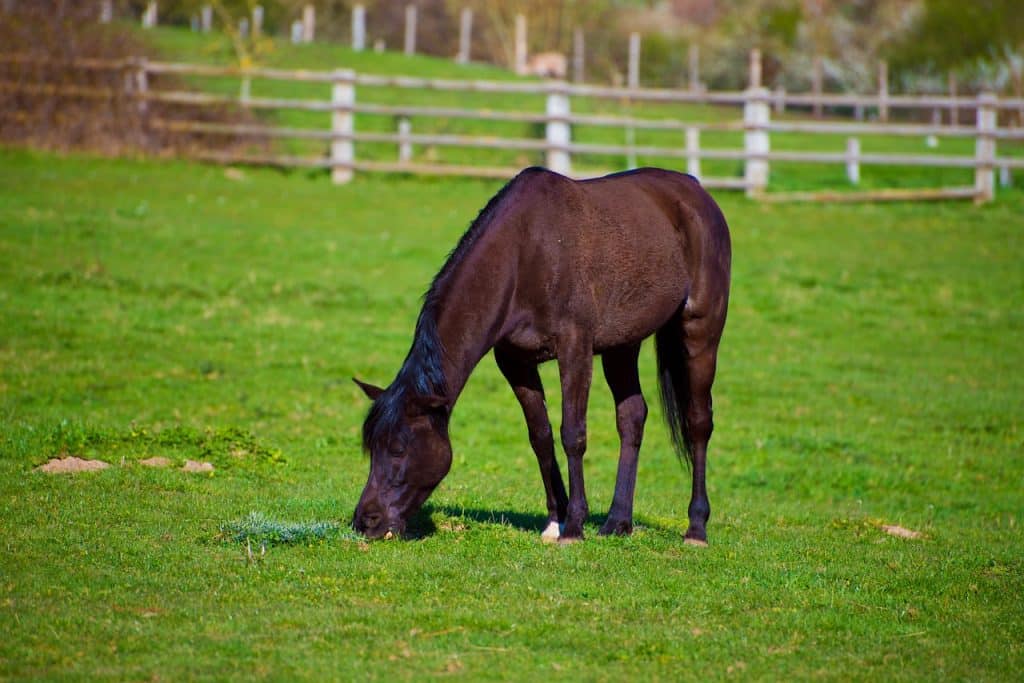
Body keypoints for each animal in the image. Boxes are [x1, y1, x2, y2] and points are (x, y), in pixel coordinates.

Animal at [352, 165, 729, 544]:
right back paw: (618, 521)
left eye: (399, 449)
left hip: (700, 331)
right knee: (632, 417)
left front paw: (574, 526)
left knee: (699, 422)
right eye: (371, 447)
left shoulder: (575, 350)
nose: (365, 521)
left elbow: (572, 434)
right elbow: (541, 436)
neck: (522, 256)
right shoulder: (515, 362)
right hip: (622, 345)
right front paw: (555, 520)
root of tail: (697, 193)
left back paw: (696, 528)